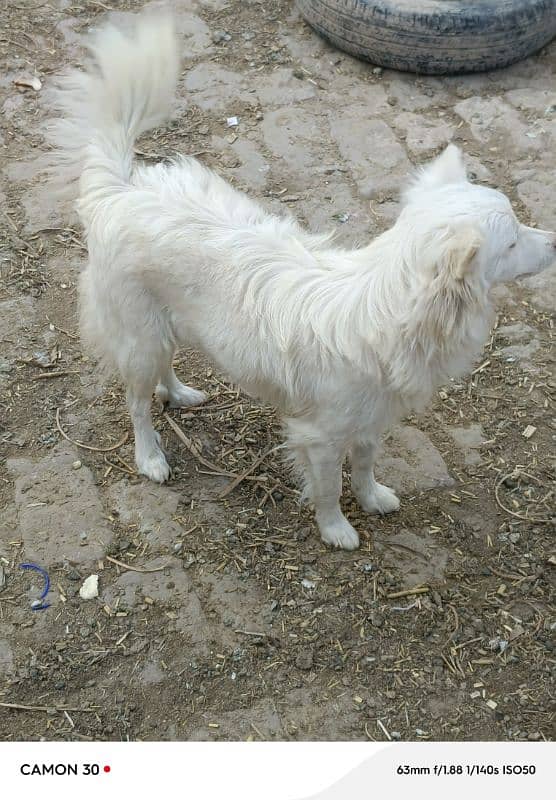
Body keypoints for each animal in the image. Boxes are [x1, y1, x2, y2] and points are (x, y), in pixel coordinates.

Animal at [48, 14, 556, 552]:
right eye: (513, 241)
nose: (553, 240)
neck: (388, 306)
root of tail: (120, 191)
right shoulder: (322, 435)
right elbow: (329, 487)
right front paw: (336, 530)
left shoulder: (371, 420)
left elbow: (366, 465)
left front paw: (372, 498)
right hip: (139, 339)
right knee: (137, 404)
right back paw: (150, 457)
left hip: (169, 325)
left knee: (165, 371)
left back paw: (180, 394)